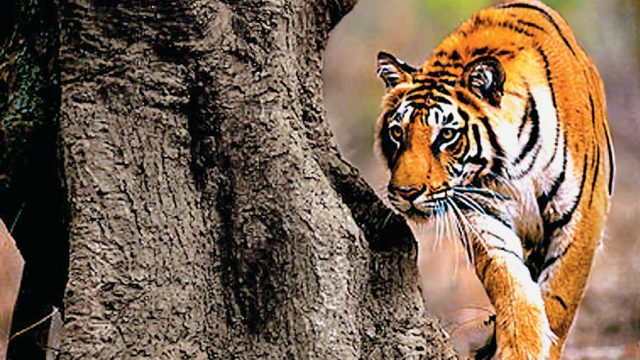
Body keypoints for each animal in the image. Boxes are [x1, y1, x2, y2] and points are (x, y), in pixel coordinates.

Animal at [376, 1, 616, 358]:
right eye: (397, 133)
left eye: (446, 135)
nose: (405, 192)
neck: (512, 165)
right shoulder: (482, 210)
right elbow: (511, 285)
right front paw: (519, 347)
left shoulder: (582, 213)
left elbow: (559, 298)